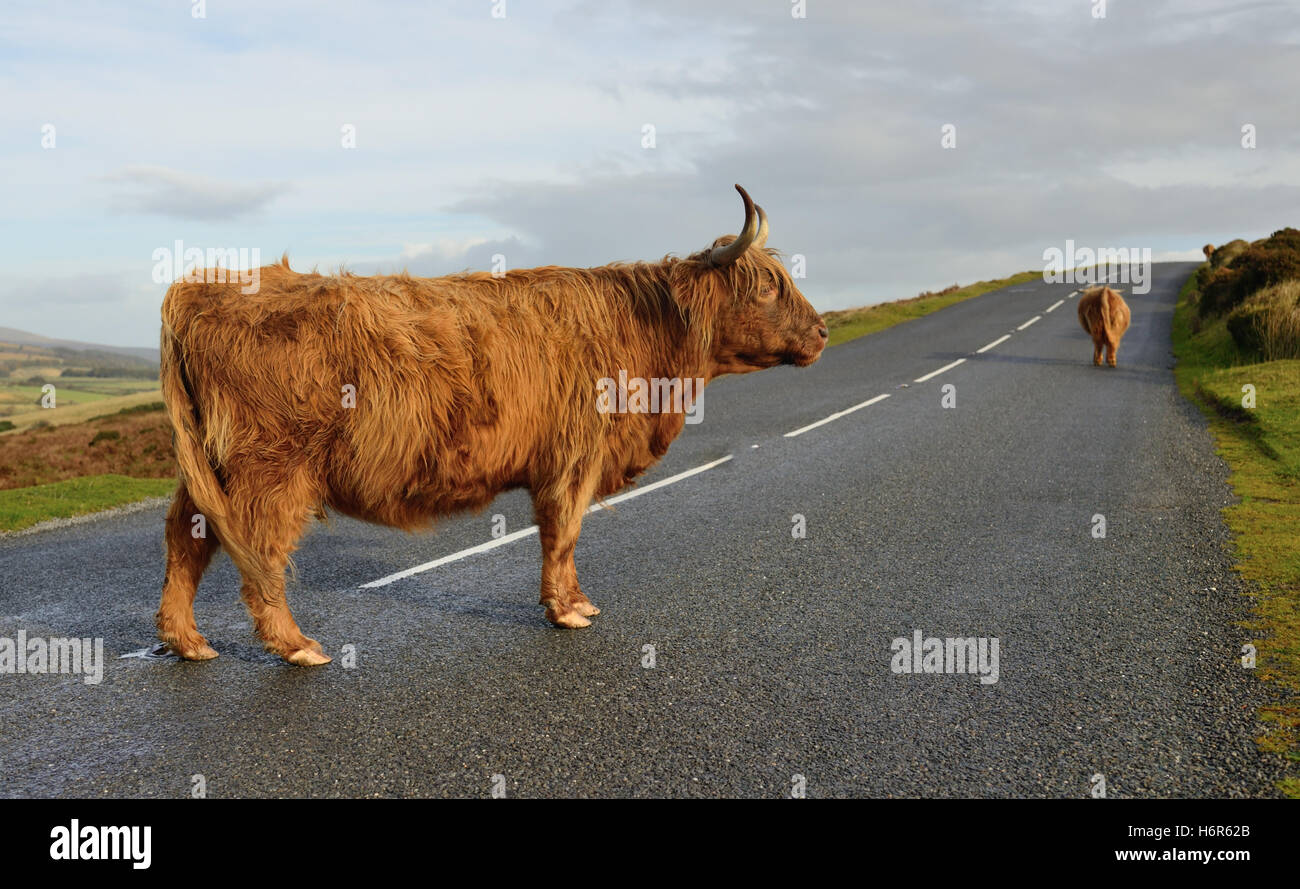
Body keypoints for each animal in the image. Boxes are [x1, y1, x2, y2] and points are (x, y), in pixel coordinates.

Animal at [157, 184, 826, 662]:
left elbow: (565, 537)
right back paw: (294, 645)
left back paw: (187, 641)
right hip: (274, 467)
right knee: (260, 550)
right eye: (767, 287)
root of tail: (202, 286)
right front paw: (566, 610)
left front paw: (578, 601)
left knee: (186, 537)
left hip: (214, 466)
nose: (821, 331)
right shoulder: (573, 456)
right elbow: (563, 532)